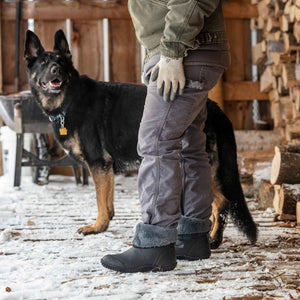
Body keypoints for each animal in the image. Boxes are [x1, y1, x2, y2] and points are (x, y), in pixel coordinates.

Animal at [24, 29, 258, 248]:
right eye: (43, 63)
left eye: (61, 62)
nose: (56, 70)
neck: (69, 99)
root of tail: (216, 109)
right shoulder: (106, 168)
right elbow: (107, 201)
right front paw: (105, 223)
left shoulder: (98, 163)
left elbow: (100, 201)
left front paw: (97, 227)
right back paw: (211, 238)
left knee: (222, 202)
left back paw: (212, 239)